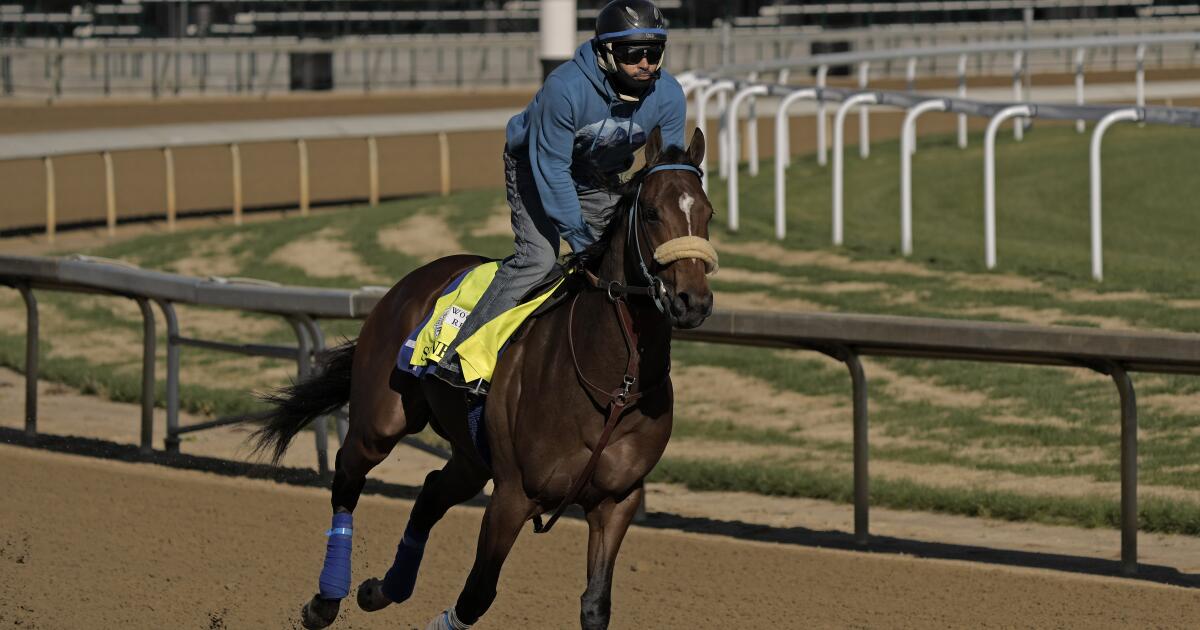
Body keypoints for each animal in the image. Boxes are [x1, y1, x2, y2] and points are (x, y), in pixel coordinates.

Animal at [246, 125, 710, 624]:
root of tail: (413, 280)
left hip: (472, 455)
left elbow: (595, 604)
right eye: (651, 212)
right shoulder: (513, 494)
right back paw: (326, 601)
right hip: (380, 422)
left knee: (431, 491)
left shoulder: (617, 500)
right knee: (348, 477)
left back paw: (381, 590)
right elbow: (477, 593)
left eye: (708, 212)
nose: (693, 301)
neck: (612, 387)